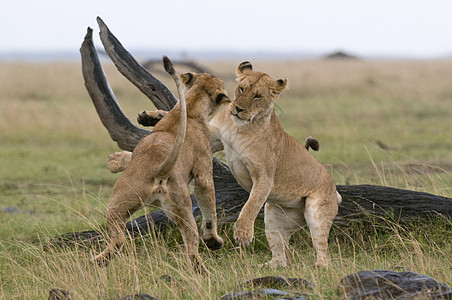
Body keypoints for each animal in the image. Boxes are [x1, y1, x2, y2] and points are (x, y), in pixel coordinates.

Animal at [95, 56, 230, 272]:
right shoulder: (203, 171)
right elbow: (209, 207)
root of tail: (159, 173)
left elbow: (129, 156)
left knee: (119, 238)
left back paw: (99, 260)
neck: (191, 107)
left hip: (118, 202)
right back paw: (203, 271)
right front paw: (213, 240)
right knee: (192, 246)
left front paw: (113, 160)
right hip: (182, 209)